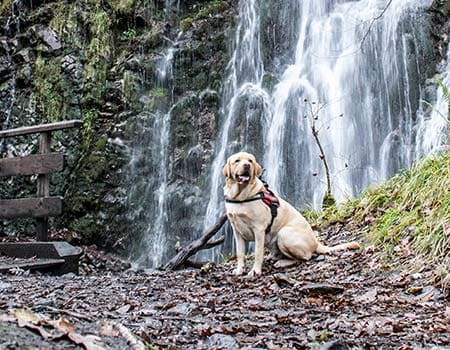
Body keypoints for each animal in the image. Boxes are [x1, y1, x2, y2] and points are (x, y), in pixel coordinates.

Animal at [223, 150, 360, 276]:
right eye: (237, 161)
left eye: (250, 161)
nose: (247, 165)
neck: (240, 197)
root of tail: (316, 243)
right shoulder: (237, 232)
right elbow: (240, 253)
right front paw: (239, 270)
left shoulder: (259, 229)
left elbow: (257, 252)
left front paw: (255, 271)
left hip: (284, 234)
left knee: (305, 257)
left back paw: (283, 262)